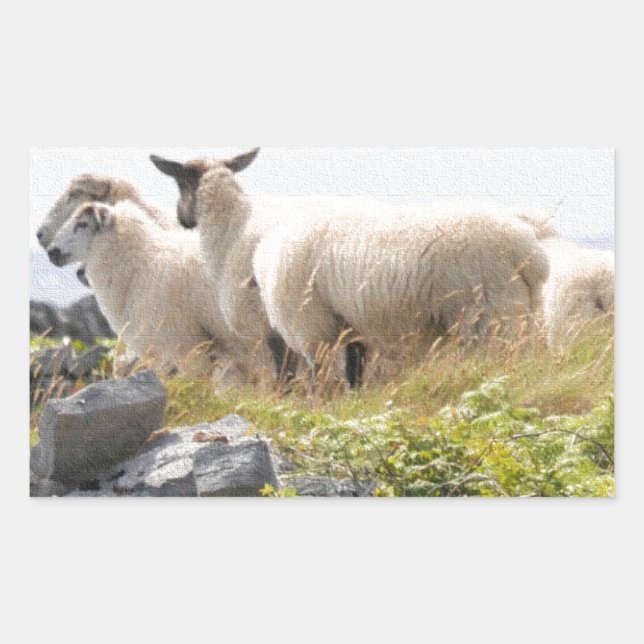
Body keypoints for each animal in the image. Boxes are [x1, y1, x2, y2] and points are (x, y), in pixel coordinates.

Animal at [252, 206, 551, 387]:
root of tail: (528, 248)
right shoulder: (348, 325)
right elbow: (354, 369)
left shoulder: (313, 325)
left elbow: (321, 374)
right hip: (518, 312)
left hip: (489, 311)